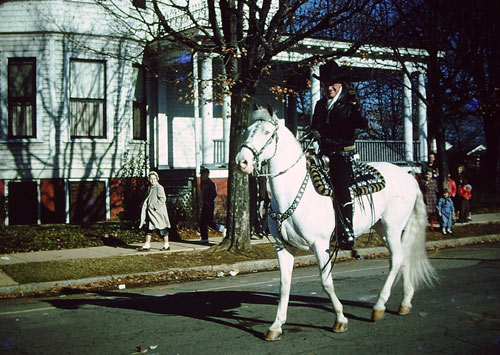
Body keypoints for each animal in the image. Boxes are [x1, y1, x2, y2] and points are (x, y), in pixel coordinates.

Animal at [236, 106, 436, 342]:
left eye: (267, 132)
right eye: (248, 130)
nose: (242, 161)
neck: (293, 192)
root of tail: (409, 177)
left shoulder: (320, 245)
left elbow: (326, 282)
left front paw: (340, 320)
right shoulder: (282, 247)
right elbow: (284, 285)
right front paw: (276, 326)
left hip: (393, 227)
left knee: (396, 260)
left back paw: (379, 306)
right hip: (384, 229)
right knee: (403, 258)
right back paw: (405, 303)